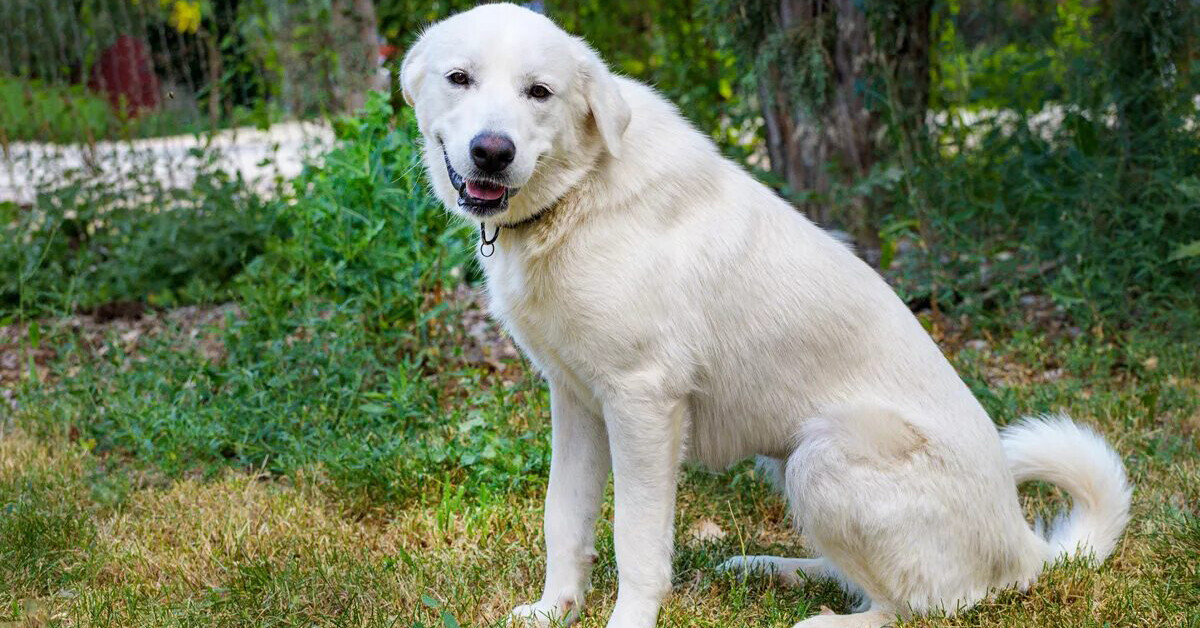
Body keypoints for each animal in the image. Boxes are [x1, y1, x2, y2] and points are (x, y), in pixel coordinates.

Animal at [400, 6, 1123, 628]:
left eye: (539, 92)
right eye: (459, 78)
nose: (492, 152)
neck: (580, 192)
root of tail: (1026, 549)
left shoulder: (643, 405)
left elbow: (635, 541)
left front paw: (628, 620)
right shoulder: (576, 402)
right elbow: (564, 520)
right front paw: (556, 611)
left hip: (823, 457)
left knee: (923, 605)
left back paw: (824, 620)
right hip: (790, 461)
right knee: (860, 576)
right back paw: (772, 568)